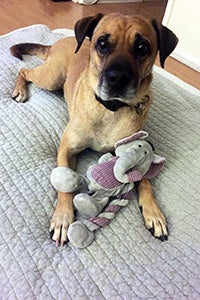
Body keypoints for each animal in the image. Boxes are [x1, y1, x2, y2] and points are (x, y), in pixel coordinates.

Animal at [10, 12, 178, 245]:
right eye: (102, 43)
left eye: (142, 47)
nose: (117, 78)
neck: (111, 109)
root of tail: (59, 42)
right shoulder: (66, 149)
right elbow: (64, 184)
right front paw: (62, 218)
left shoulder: (137, 145)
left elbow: (145, 180)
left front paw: (153, 212)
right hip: (51, 78)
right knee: (24, 71)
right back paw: (20, 90)